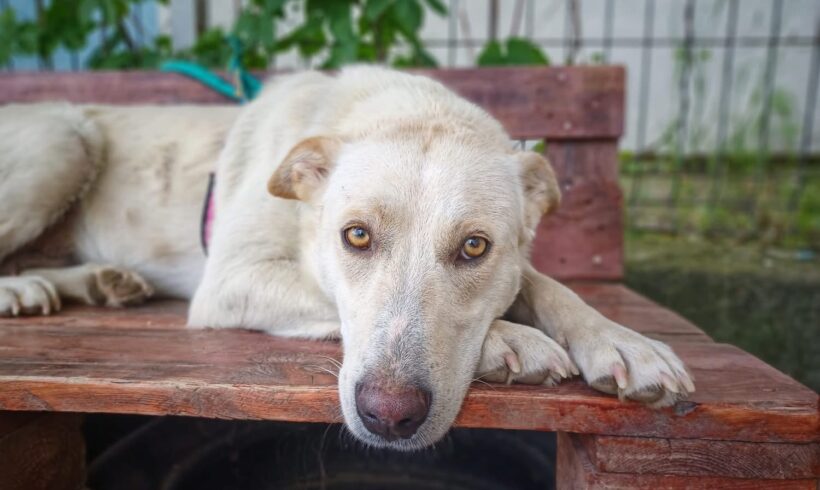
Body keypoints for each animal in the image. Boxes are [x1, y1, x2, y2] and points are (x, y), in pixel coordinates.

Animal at [0, 66, 693, 450]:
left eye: (474, 247)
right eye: (355, 236)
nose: (389, 418)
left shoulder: (513, 262)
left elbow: (544, 283)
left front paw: (618, 339)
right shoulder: (231, 278)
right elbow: (325, 293)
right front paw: (508, 340)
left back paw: (100, 281)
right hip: (65, 139)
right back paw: (23, 291)